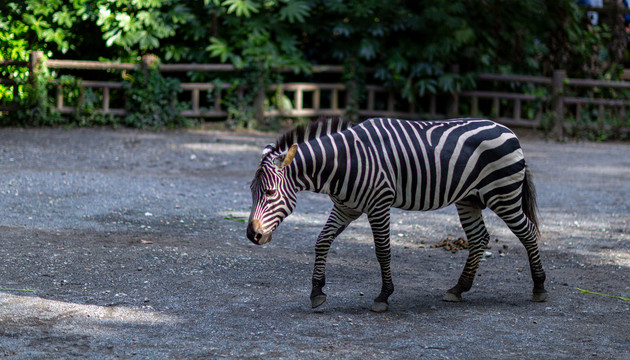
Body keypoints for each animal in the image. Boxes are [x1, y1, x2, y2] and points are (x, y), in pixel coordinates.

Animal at [247, 118, 548, 312]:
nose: (252, 235)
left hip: (503, 194)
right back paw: (458, 289)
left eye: (270, 193)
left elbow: (382, 251)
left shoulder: (379, 203)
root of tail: (508, 130)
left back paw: (539, 287)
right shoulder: (345, 208)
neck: (344, 162)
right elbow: (322, 242)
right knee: (479, 238)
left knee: (529, 233)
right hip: (469, 199)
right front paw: (317, 292)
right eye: (252, 192)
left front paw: (383, 296)